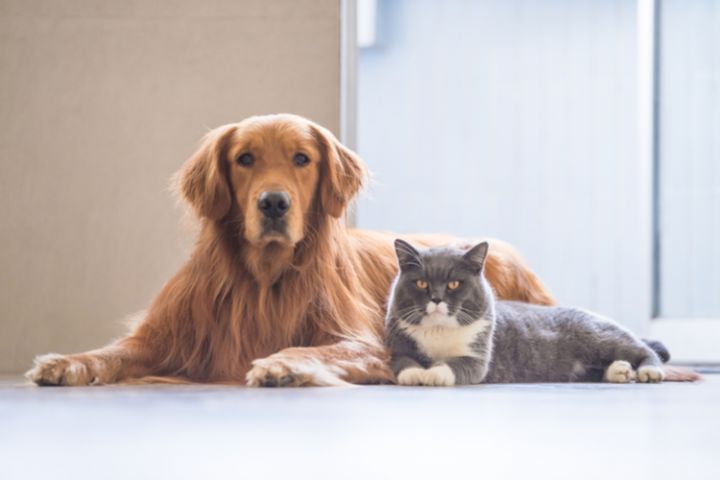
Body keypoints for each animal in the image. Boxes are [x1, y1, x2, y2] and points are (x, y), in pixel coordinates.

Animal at [386, 240, 668, 386]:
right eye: (421, 283)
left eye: (454, 284)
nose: (436, 298)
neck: (439, 330)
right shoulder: (399, 346)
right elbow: (403, 363)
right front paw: (415, 374)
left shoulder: (477, 355)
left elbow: (455, 364)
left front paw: (433, 373)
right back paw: (619, 371)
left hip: (598, 336)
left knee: (643, 349)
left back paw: (647, 371)